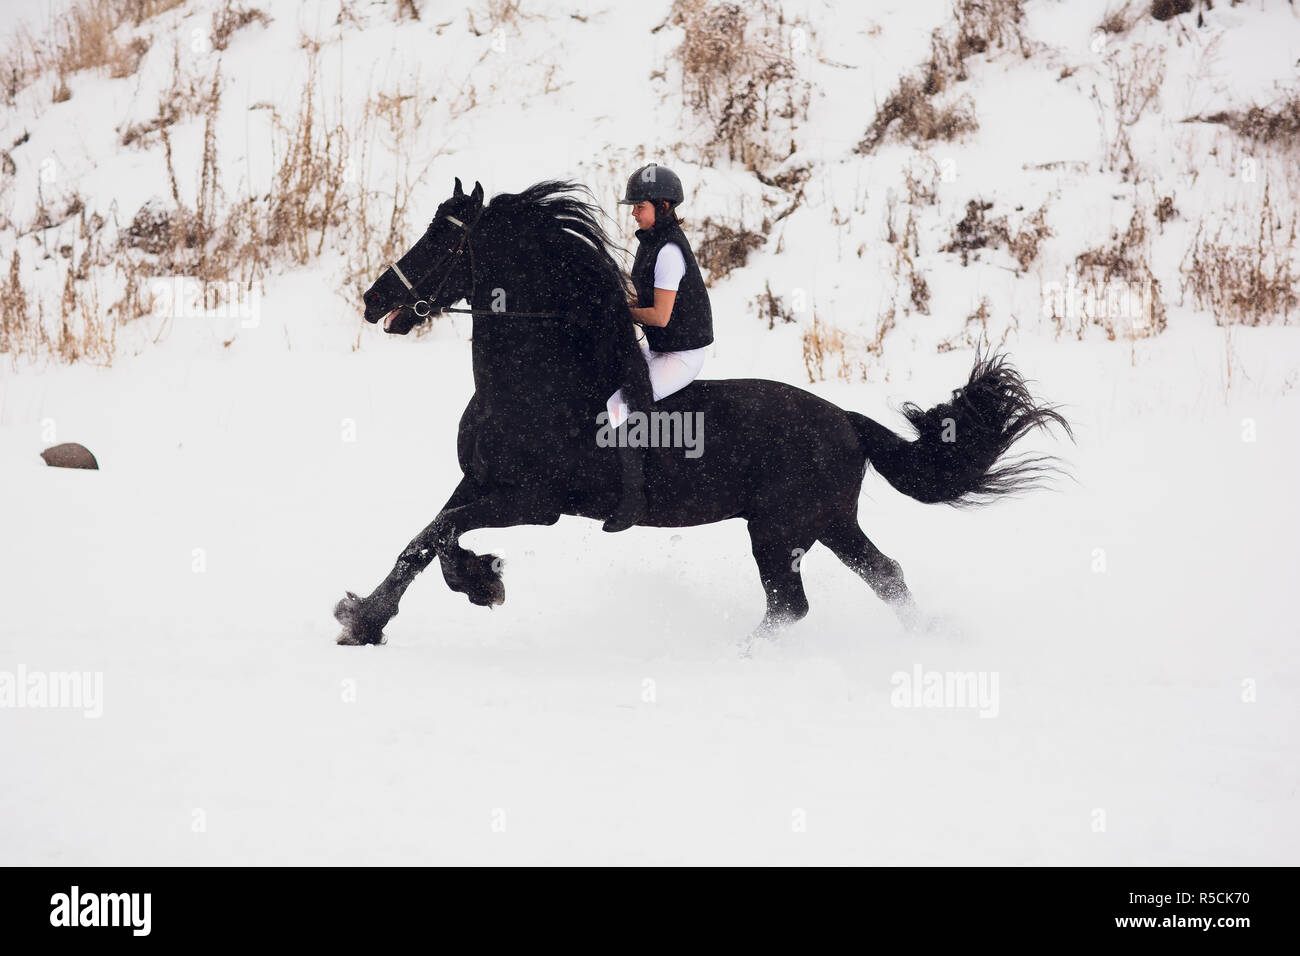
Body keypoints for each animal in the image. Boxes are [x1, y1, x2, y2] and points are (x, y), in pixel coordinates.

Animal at [334, 177, 1073, 647]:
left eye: (444, 239)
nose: (373, 301)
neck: (536, 384)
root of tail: (845, 420)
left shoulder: (533, 501)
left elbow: (435, 534)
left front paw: (379, 613)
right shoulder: (481, 483)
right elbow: (431, 536)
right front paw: (445, 592)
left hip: (781, 529)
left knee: (792, 604)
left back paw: (743, 655)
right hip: (825, 523)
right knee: (882, 576)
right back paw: (928, 639)